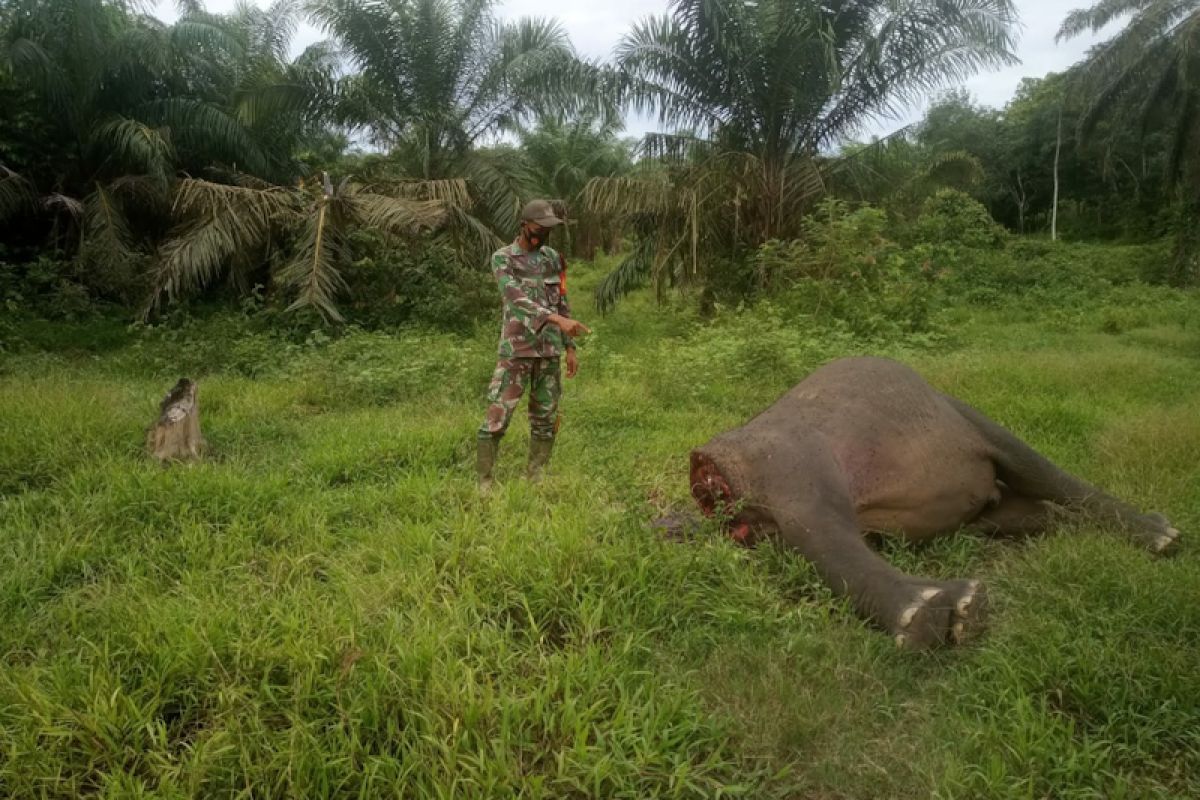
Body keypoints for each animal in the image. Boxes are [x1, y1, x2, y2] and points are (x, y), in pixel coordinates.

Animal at [686, 357, 1180, 652]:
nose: (699, 468)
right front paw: (962, 608)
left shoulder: (795, 471)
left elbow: (825, 537)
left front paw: (944, 614)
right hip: (987, 509)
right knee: (1039, 513)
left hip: (976, 422)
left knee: (1046, 473)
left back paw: (1165, 537)